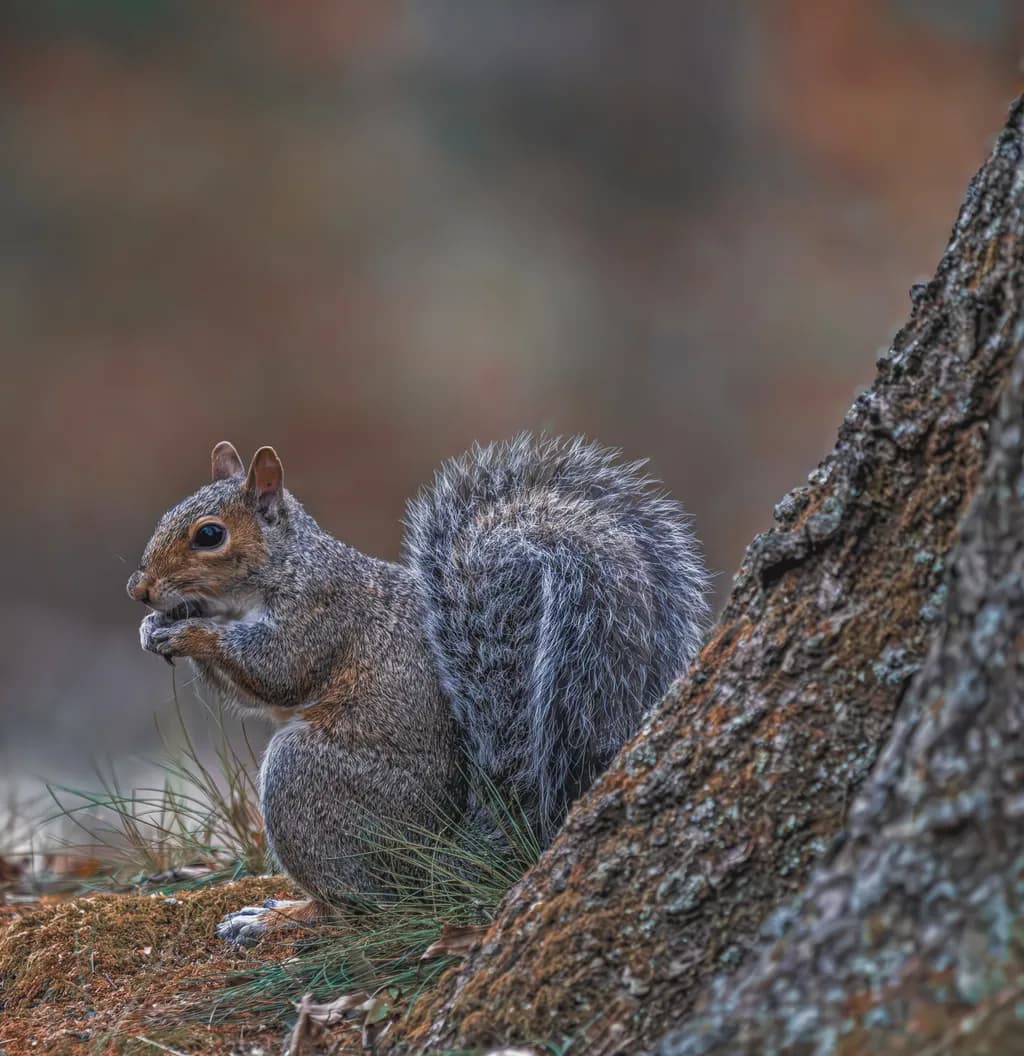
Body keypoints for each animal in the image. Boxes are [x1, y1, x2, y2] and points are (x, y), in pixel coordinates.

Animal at [128, 435, 710, 943]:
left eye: (210, 535)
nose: (140, 589)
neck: (285, 568)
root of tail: (429, 859)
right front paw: (153, 629)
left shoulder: (320, 613)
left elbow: (278, 671)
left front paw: (189, 632)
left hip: (307, 779)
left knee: (356, 904)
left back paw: (279, 917)